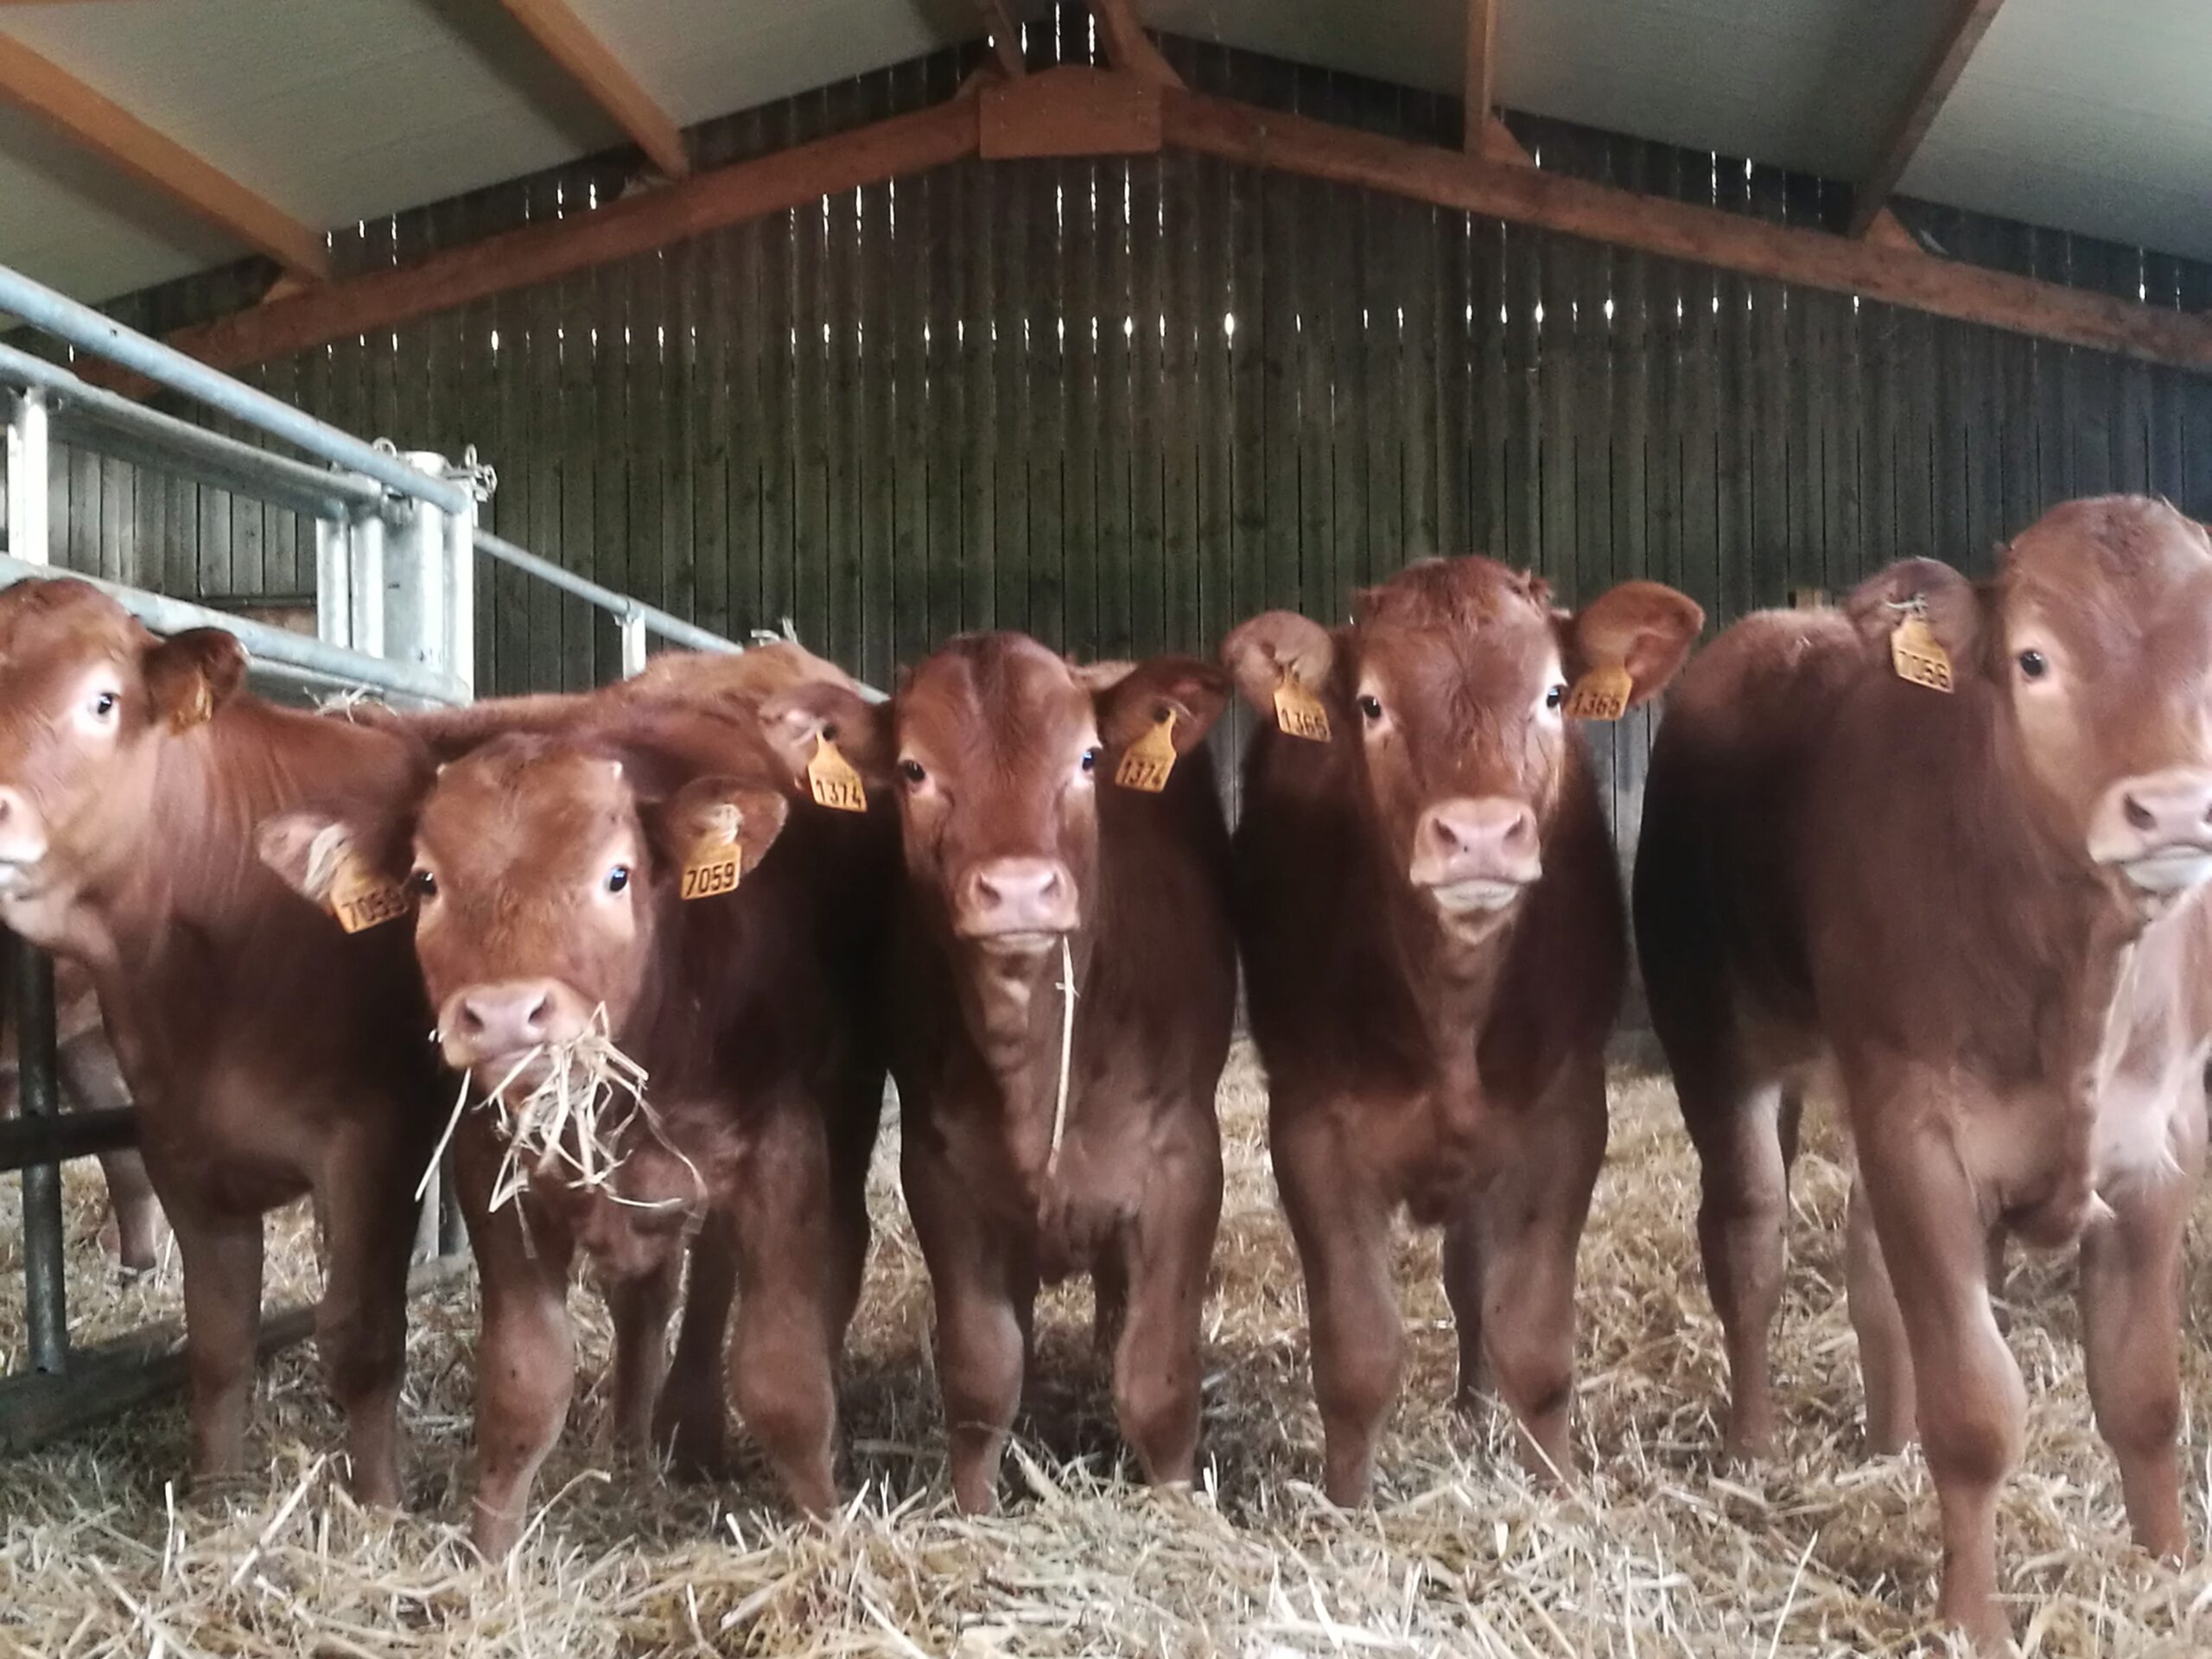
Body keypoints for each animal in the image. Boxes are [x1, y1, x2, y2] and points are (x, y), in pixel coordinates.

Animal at [0, 576, 443, 1503]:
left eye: (103, 700)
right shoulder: (180, 1140)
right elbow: (217, 1339)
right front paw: (213, 1495)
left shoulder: (374, 1142)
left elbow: (362, 1341)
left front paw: (381, 1506)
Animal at [260, 693, 894, 1554]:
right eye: (426, 881)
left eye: (617, 875)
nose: (502, 1014)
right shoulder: (496, 1173)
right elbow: (524, 1386)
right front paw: (491, 1555)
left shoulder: (783, 1152)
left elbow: (782, 1379)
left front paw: (827, 1537)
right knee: (647, 1306)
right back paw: (631, 1444)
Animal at [759, 636, 1236, 1514]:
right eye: (913, 769)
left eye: (1087, 758)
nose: (1017, 888)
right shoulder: (942, 1171)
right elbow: (983, 1373)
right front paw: (976, 1509)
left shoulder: (1184, 1163)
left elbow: (1157, 1381)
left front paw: (1178, 1508)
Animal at [1221, 559, 1702, 1504]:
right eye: (1370, 704)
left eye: (1552, 693)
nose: (1479, 834)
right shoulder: (1309, 1131)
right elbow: (1358, 1353)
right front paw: (1347, 1506)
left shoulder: (1563, 1121)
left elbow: (1534, 1344)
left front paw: (1556, 1494)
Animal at [1631, 495, 2212, 1646]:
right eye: (2033, 659)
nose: (2169, 809)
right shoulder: (1922, 1136)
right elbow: (1979, 1409)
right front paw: (1972, 1620)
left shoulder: (2159, 1139)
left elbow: (2143, 1395)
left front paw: (2167, 1571)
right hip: (1715, 1043)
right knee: (1747, 1242)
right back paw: (1753, 1446)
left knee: (1865, 1265)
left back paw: (1887, 1439)